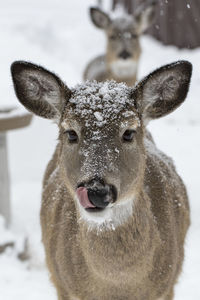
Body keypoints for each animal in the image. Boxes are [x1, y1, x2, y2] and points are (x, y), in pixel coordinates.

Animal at [11, 59, 192, 300]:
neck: (116, 286)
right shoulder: (64, 287)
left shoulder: (167, 287)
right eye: (71, 133)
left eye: (129, 132)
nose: (96, 191)